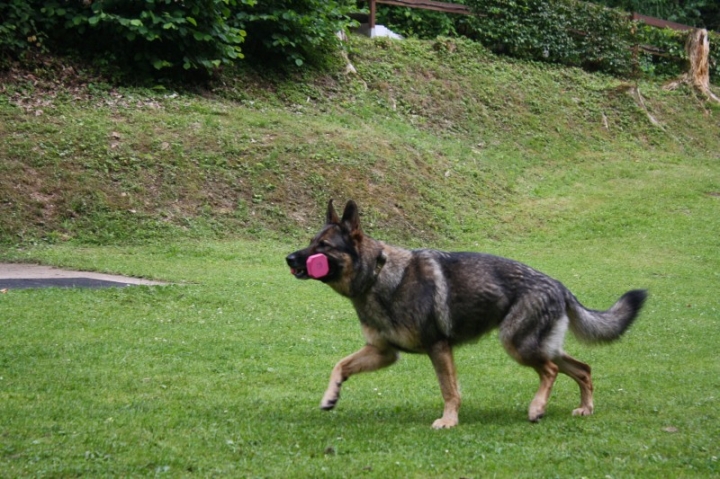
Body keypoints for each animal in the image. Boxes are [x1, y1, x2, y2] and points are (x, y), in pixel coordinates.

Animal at [286, 201, 648, 430]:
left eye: (323, 245)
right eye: (311, 241)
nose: (288, 258)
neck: (378, 276)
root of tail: (559, 284)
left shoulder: (438, 348)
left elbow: (449, 390)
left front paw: (449, 420)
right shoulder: (383, 352)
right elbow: (340, 365)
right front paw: (330, 396)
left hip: (517, 344)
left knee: (551, 371)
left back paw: (537, 408)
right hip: (540, 345)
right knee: (582, 369)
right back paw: (585, 408)